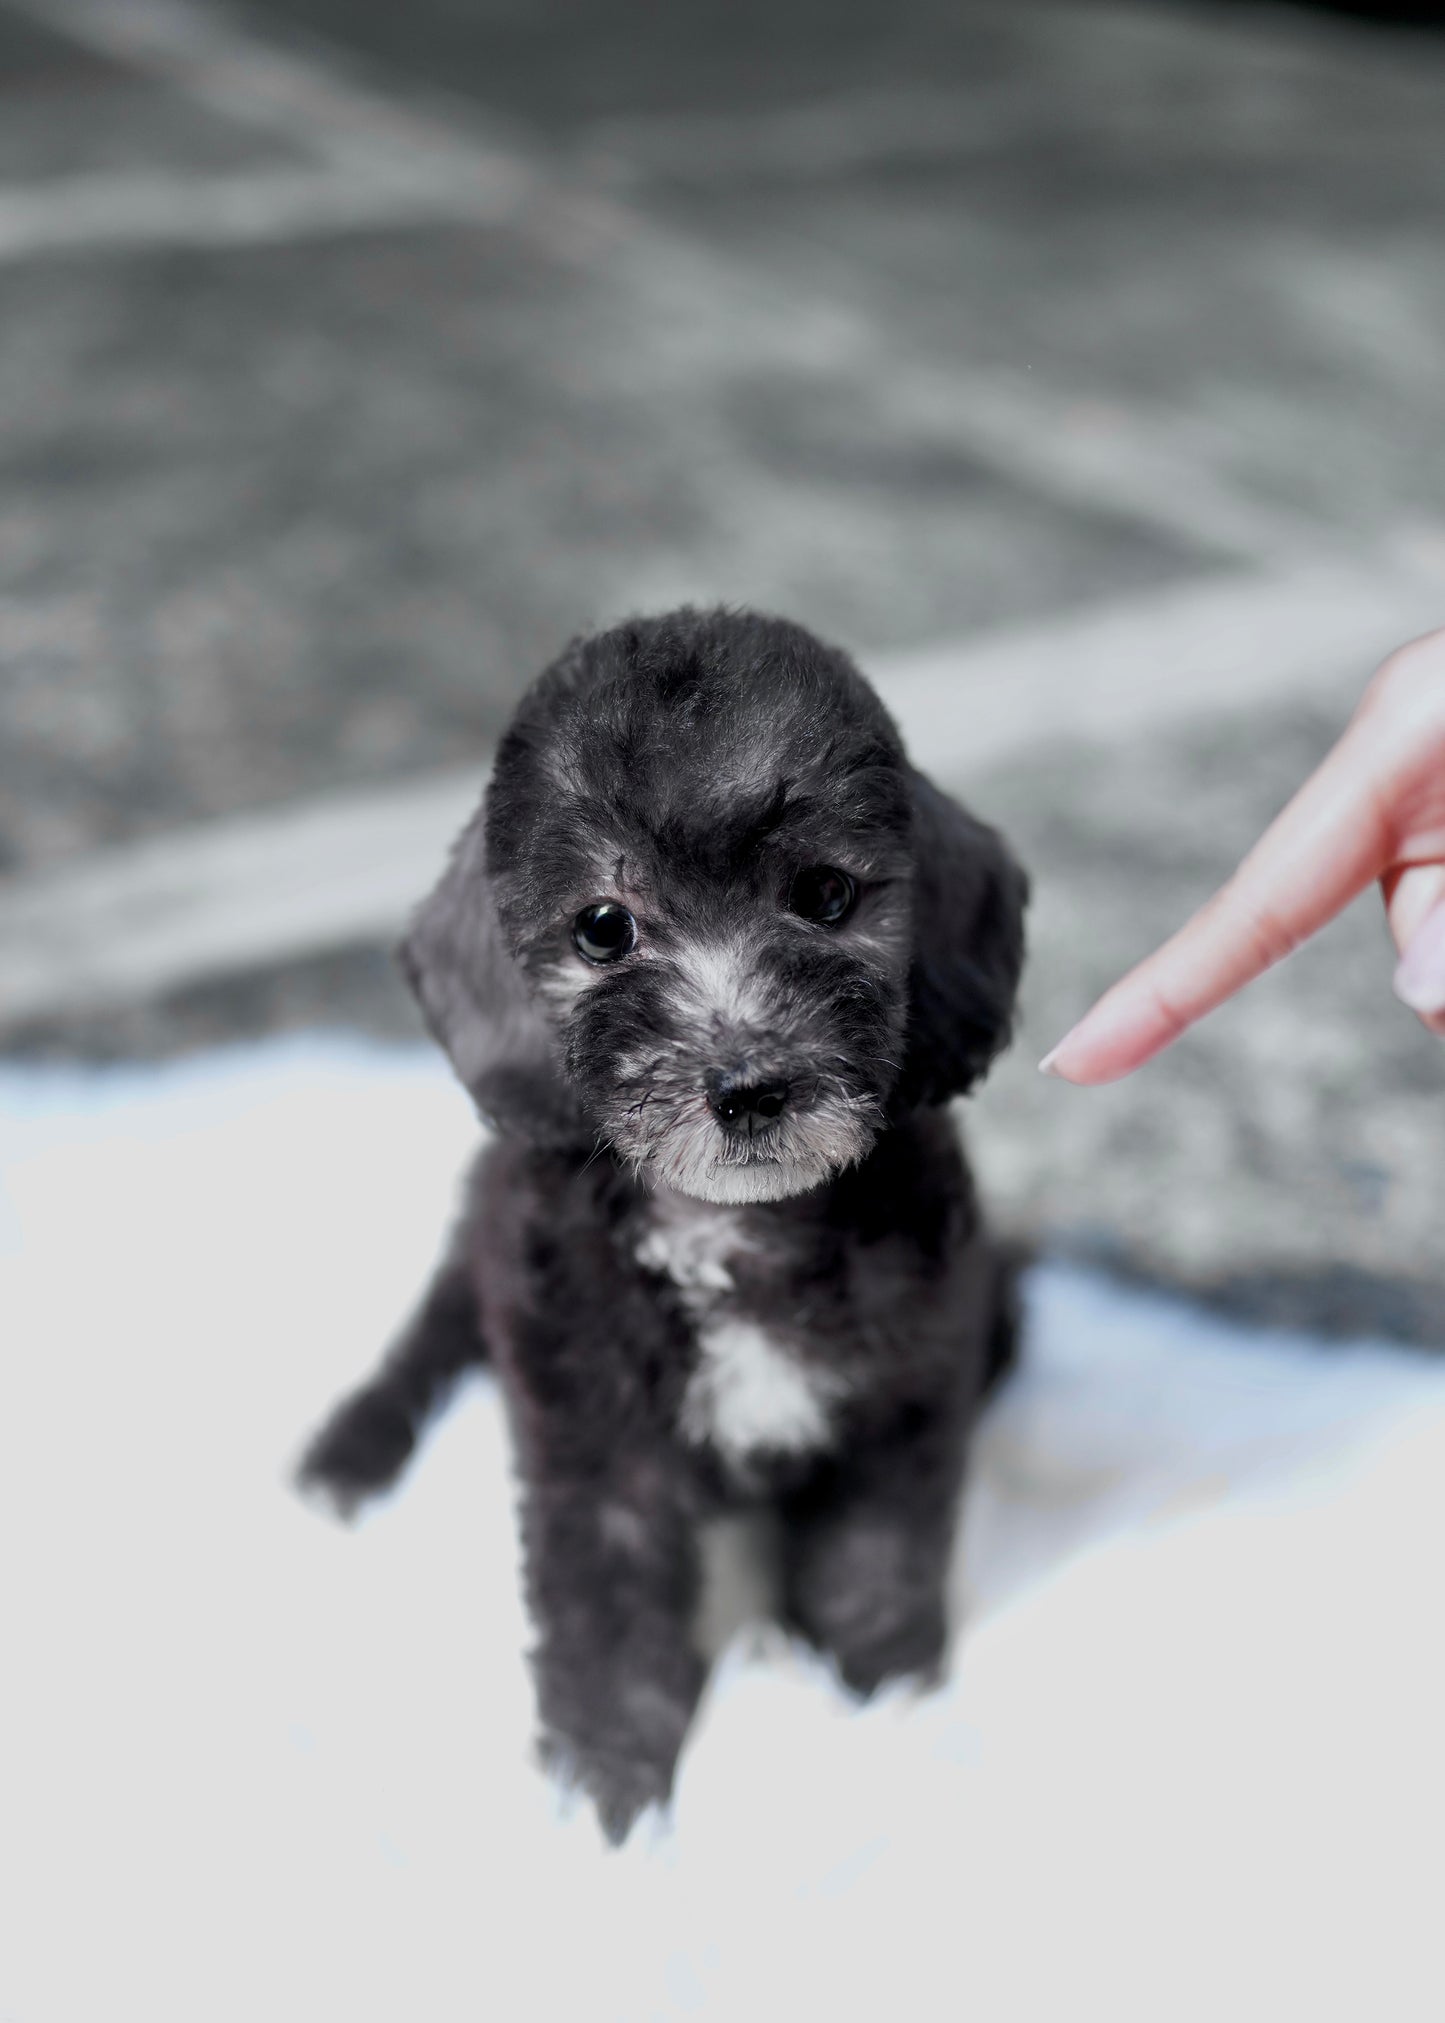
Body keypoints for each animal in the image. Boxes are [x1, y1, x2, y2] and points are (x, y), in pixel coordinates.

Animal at [301, 606, 1024, 1844]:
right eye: (604, 927)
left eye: (825, 895)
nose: (747, 1087)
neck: (731, 1235)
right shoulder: (595, 1450)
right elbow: (609, 1622)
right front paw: (609, 1801)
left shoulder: (898, 1405)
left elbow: (872, 1567)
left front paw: (885, 1708)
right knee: (429, 1340)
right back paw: (350, 1456)